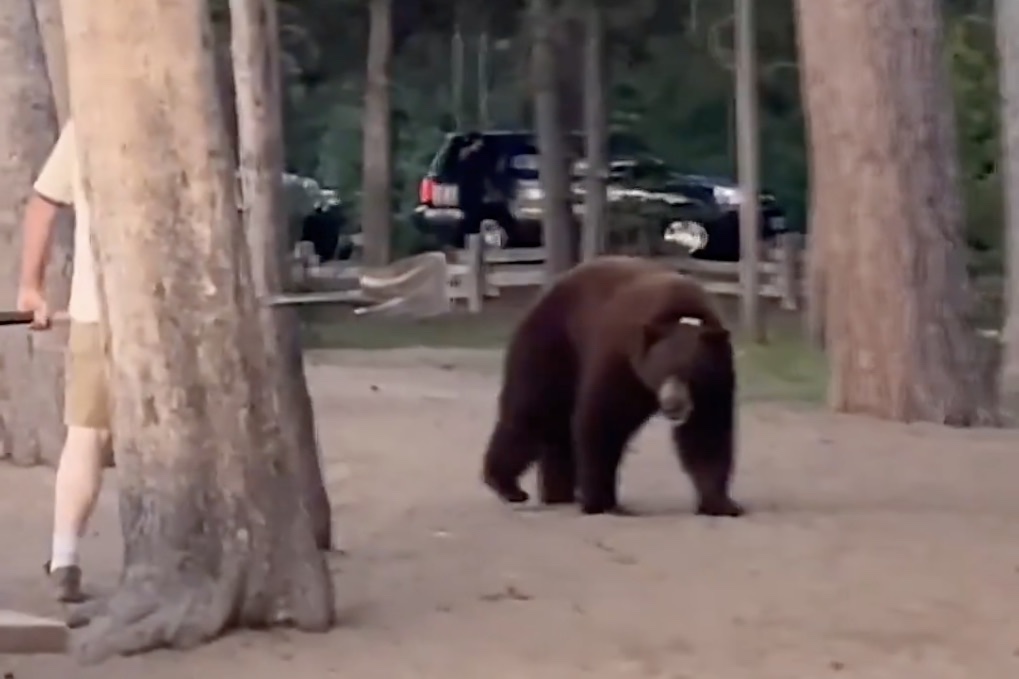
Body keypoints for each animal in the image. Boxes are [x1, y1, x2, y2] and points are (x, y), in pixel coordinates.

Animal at [481, 255, 743, 517]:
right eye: (663, 371)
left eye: (692, 373)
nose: (673, 405)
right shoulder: (620, 359)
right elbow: (603, 419)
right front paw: (600, 500)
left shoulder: (715, 382)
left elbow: (707, 432)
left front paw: (722, 503)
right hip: (553, 344)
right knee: (533, 408)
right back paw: (507, 485)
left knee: (557, 427)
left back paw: (558, 492)